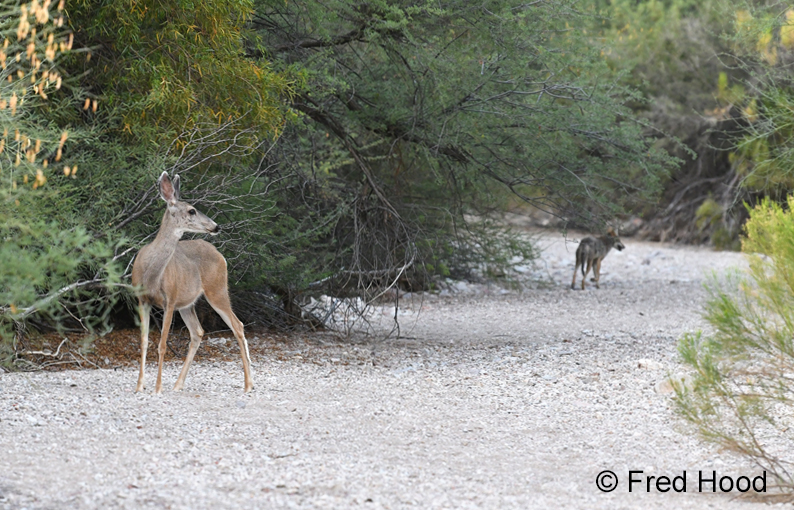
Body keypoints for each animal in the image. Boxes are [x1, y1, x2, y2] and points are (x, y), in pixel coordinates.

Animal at [131, 172, 253, 393]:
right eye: (192, 210)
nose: (216, 226)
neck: (151, 274)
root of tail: (221, 256)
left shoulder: (169, 299)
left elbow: (162, 344)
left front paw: (157, 388)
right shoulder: (142, 300)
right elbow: (144, 342)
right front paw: (139, 386)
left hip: (217, 289)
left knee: (237, 325)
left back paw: (249, 384)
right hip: (187, 304)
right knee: (197, 332)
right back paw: (178, 384)